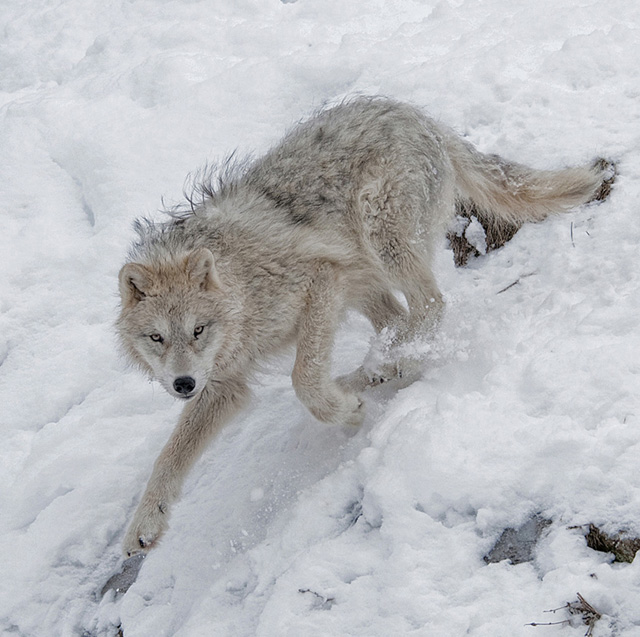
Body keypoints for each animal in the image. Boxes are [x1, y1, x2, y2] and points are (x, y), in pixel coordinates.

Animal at [117, 97, 612, 556]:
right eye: (157, 338)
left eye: (198, 330)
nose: (182, 384)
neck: (243, 290)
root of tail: (417, 114)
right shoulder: (223, 383)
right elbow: (169, 457)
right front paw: (145, 524)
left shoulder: (319, 281)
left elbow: (304, 381)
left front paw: (348, 411)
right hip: (362, 277)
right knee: (399, 320)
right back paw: (378, 371)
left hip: (378, 239)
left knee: (430, 305)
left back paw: (382, 369)